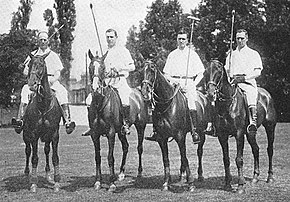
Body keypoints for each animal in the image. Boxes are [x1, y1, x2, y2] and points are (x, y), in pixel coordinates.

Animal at [23, 51, 62, 192]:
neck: (43, 105)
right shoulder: (33, 134)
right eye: (29, 64)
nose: (32, 84)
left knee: (46, 150)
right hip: (26, 135)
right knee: (28, 151)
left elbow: (55, 157)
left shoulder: (54, 134)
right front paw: (34, 184)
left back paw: (48, 174)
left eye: (41, 65)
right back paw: (27, 174)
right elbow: (34, 158)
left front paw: (56, 182)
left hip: (46, 136)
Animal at [142, 60, 201, 191]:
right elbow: (166, 159)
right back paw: (182, 176)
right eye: (142, 71)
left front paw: (191, 183)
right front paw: (166, 183)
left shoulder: (180, 136)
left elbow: (184, 156)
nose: (145, 92)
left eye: (152, 71)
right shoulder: (161, 138)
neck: (165, 105)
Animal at [203, 59, 276, 194]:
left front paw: (240, 185)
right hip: (250, 133)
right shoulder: (222, 135)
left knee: (270, 150)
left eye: (219, 71)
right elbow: (226, 159)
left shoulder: (239, 134)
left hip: (270, 127)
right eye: (206, 72)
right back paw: (255, 177)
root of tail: (267, 95)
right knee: (256, 149)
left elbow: (239, 159)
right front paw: (227, 184)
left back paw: (270, 177)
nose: (210, 94)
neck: (228, 104)